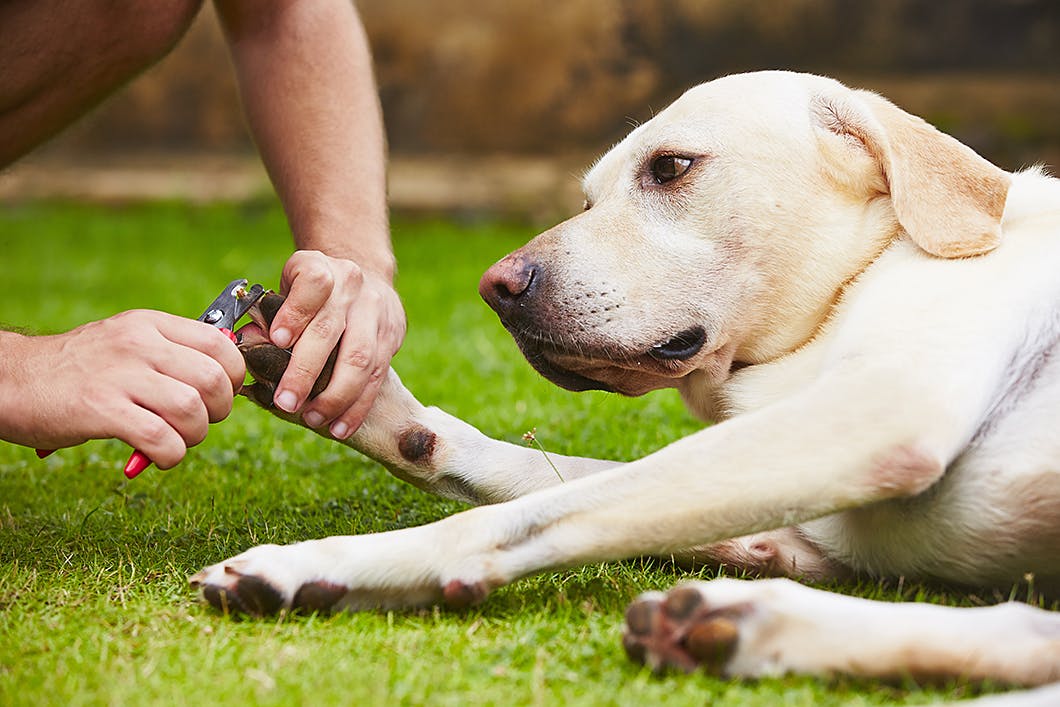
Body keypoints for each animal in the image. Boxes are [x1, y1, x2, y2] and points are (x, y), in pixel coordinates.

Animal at [195, 72, 1055, 691]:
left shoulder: (880, 413)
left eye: (670, 167)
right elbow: (525, 473)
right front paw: (362, 391)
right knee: (1021, 630)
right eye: (587, 198)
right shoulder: (801, 527)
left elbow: (509, 517)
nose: (496, 287)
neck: (854, 278)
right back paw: (738, 624)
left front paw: (317, 563)